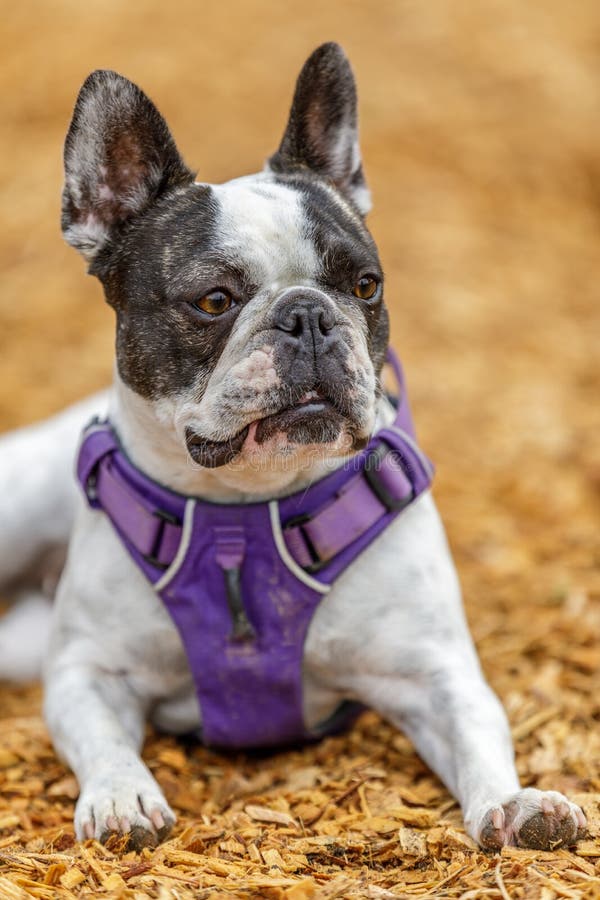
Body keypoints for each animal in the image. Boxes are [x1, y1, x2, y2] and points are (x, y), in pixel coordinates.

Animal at [0, 44, 584, 852]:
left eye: (365, 286)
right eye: (213, 300)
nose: (308, 315)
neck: (247, 513)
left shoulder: (434, 675)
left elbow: (478, 734)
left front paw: (518, 803)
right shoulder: (88, 671)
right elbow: (103, 740)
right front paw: (120, 797)